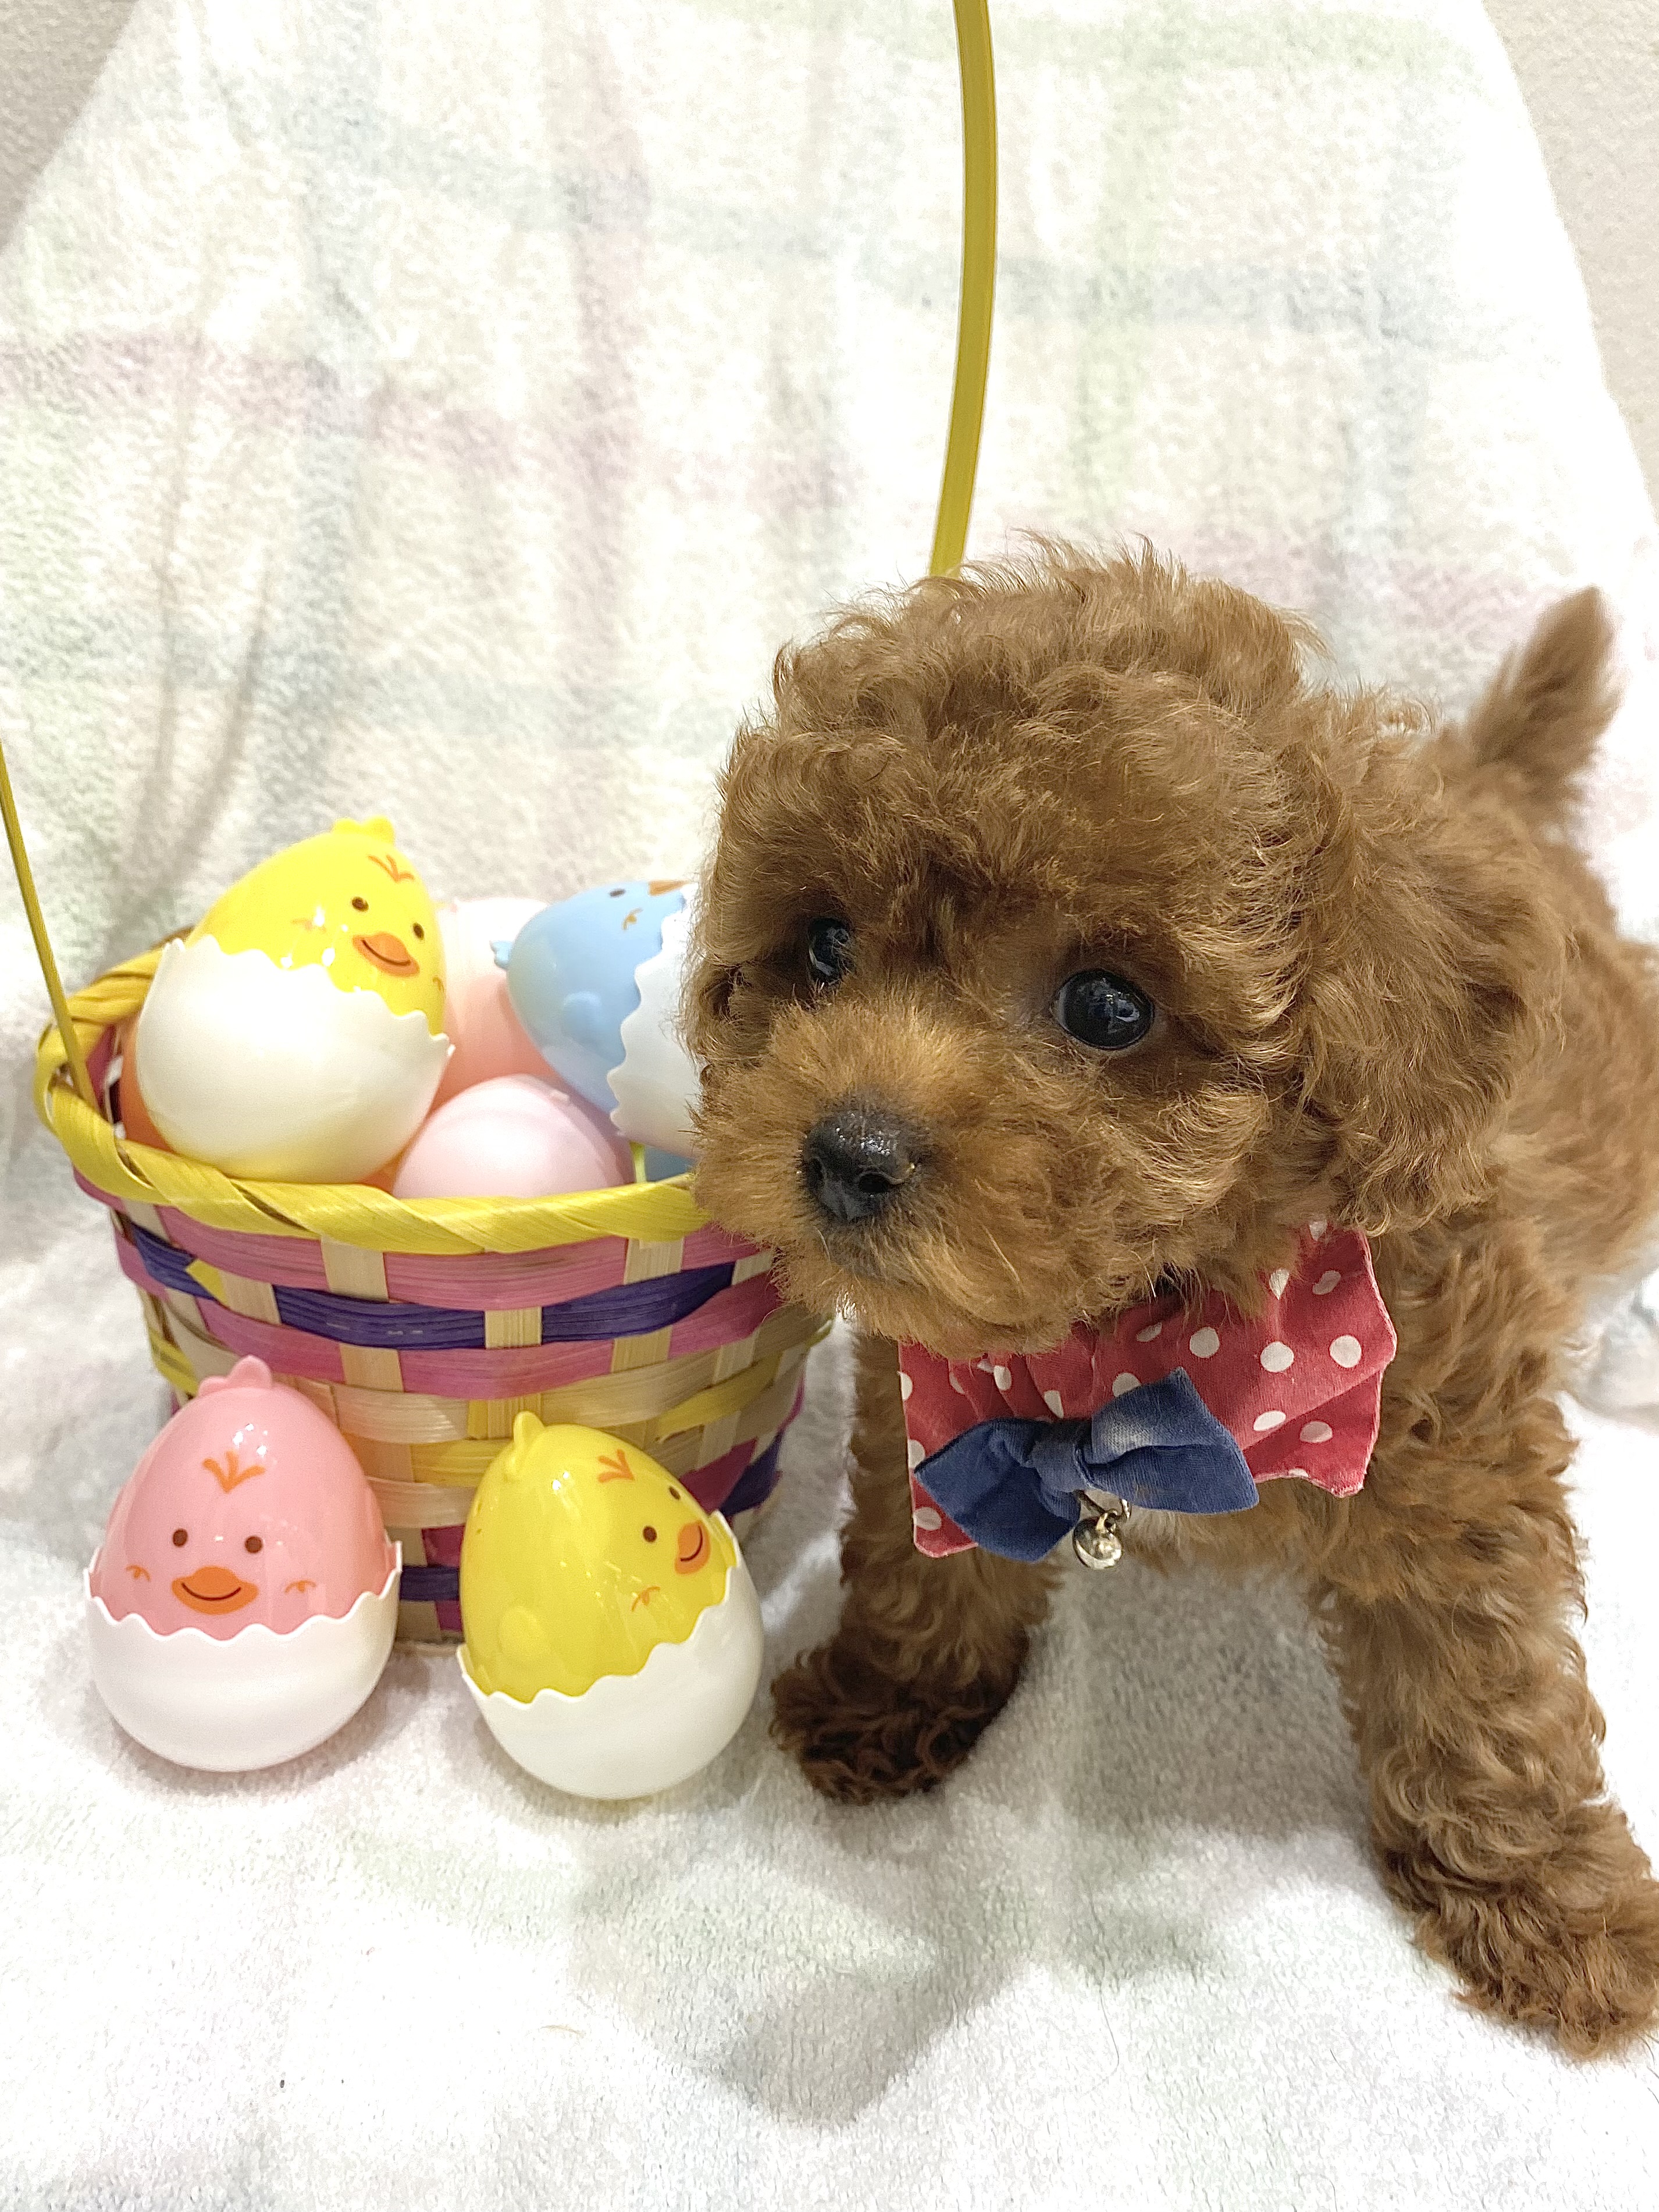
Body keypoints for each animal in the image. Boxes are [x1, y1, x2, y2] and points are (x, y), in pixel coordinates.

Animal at [686, 542, 1659, 2056]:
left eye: (1107, 1006)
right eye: (827, 946)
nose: (845, 1153)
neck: (1149, 1319)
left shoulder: (1449, 1454)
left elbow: (1483, 1688)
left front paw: (1554, 1912)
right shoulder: (942, 1402)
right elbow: (921, 1554)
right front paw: (891, 1690)